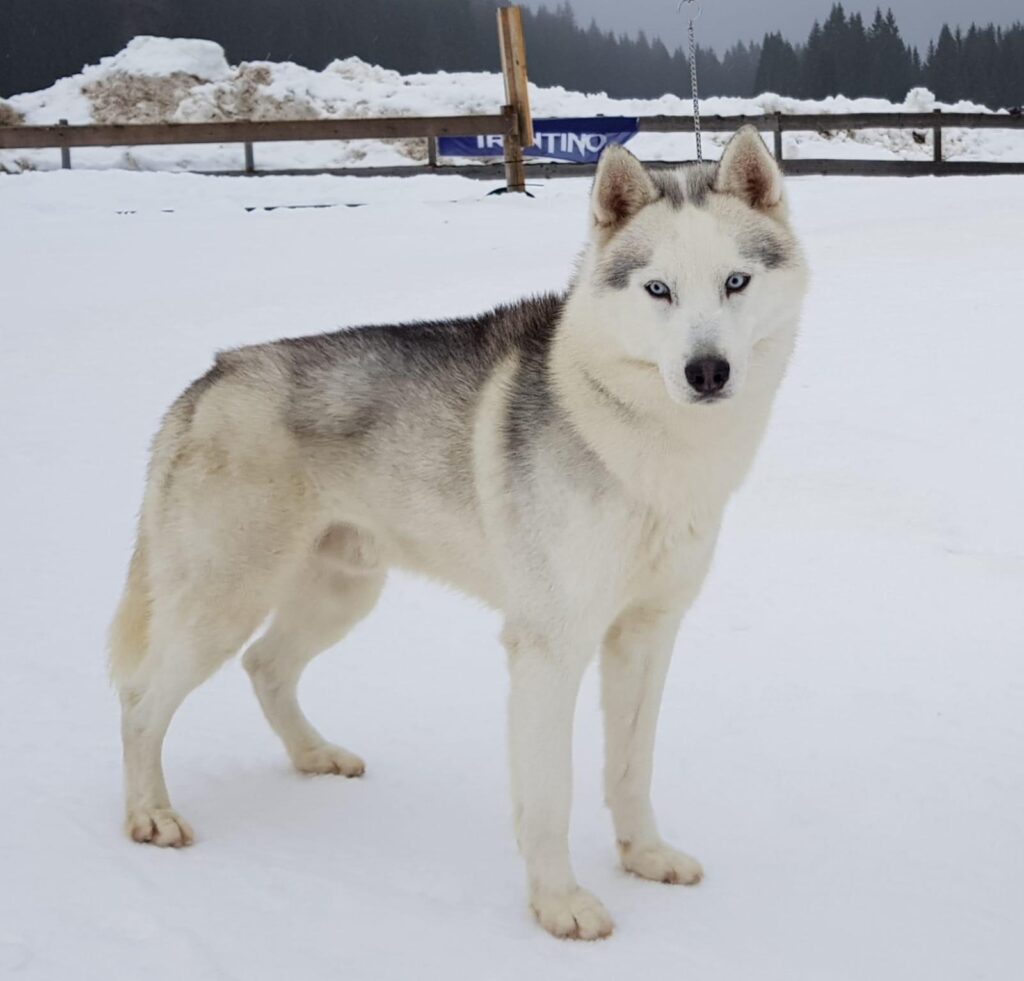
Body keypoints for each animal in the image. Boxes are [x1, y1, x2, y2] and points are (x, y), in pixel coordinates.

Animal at [110, 126, 806, 942]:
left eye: (736, 282)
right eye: (657, 290)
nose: (707, 371)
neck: (647, 442)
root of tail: (211, 377)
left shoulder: (646, 633)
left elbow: (630, 767)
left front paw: (644, 857)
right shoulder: (549, 646)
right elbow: (550, 794)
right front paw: (559, 904)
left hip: (341, 592)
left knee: (266, 666)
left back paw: (314, 755)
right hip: (222, 601)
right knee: (141, 701)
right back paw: (151, 815)